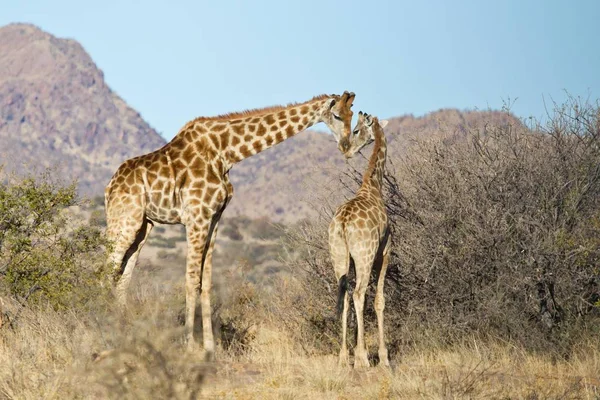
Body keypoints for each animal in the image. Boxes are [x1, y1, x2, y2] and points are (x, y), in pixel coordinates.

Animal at [105, 91, 354, 360]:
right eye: (336, 115)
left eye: (353, 115)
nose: (347, 146)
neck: (226, 152)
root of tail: (109, 187)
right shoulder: (197, 216)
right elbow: (191, 279)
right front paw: (190, 346)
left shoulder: (214, 218)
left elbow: (206, 282)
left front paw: (210, 347)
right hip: (125, 220)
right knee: (107, 267)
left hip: (143, 225)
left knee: (123, 275)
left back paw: (122, 331)